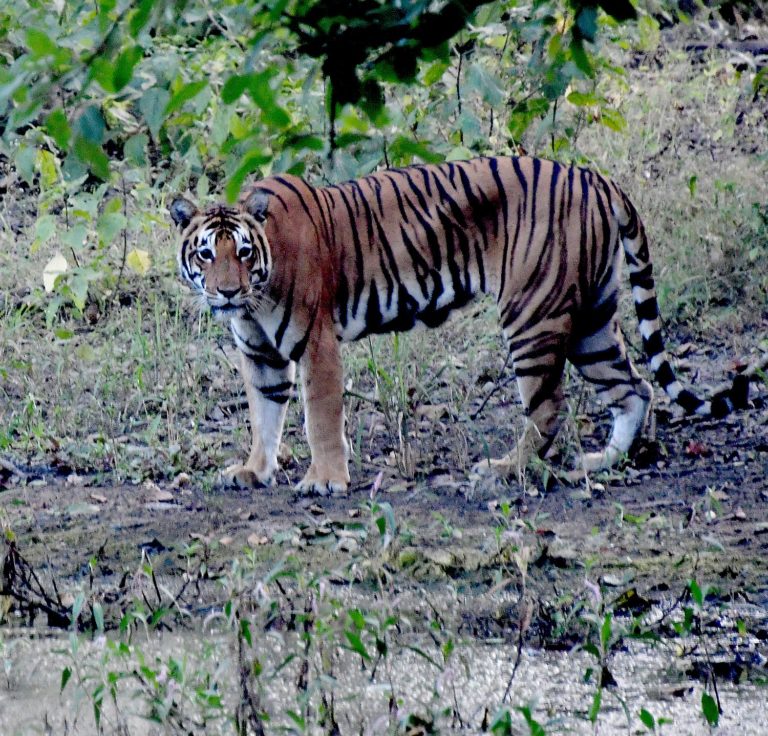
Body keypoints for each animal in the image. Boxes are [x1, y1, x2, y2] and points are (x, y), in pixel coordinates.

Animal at [170, 158, 752, 498]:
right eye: (207, 254)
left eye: (243, 253)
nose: (226, 292)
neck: (255, 300)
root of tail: (595, 176)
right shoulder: (260, 356)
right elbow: (264, 416)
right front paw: (254, 470)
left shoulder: (317, 344)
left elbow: (320, 418)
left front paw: (326, 481)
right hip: (593, 320)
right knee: (634, 389)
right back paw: (598, 462)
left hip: (531, 313)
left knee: (549, 407)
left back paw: (502, 470)